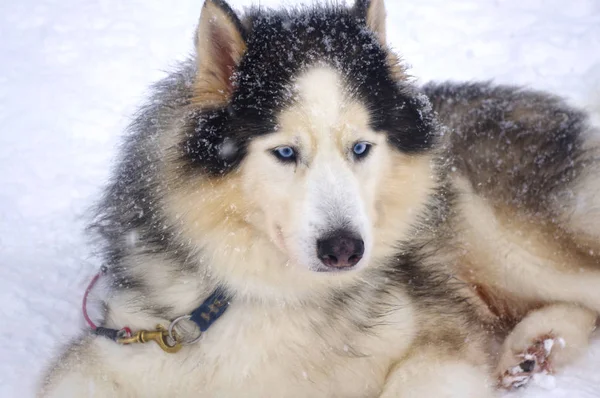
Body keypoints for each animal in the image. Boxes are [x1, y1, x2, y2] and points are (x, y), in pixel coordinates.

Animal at [39, 0, 596, 394]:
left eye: (360, 148)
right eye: (285, 152)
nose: (344, 250)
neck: (275, 293)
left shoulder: (442, 335)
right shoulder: (122, 346)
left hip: (496, 236)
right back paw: (536, 347)